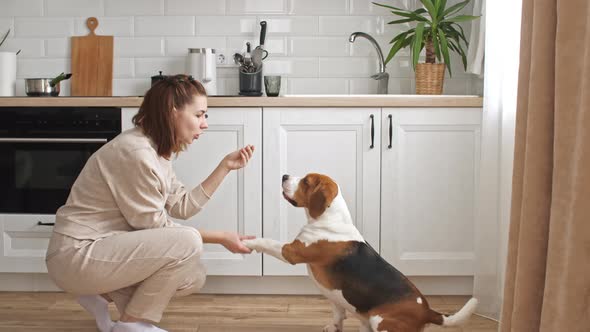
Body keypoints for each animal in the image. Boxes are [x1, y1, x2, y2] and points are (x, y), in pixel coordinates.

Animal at [243, 174, 478, 332]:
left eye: (306, 182)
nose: (284, 176)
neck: (330, 219)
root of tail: (427, 310)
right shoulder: (336, 299)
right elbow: (338, 315)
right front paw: (334, 327)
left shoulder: (292, 252)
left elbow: (268, 241)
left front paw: (249, 242)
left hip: (379, 320)